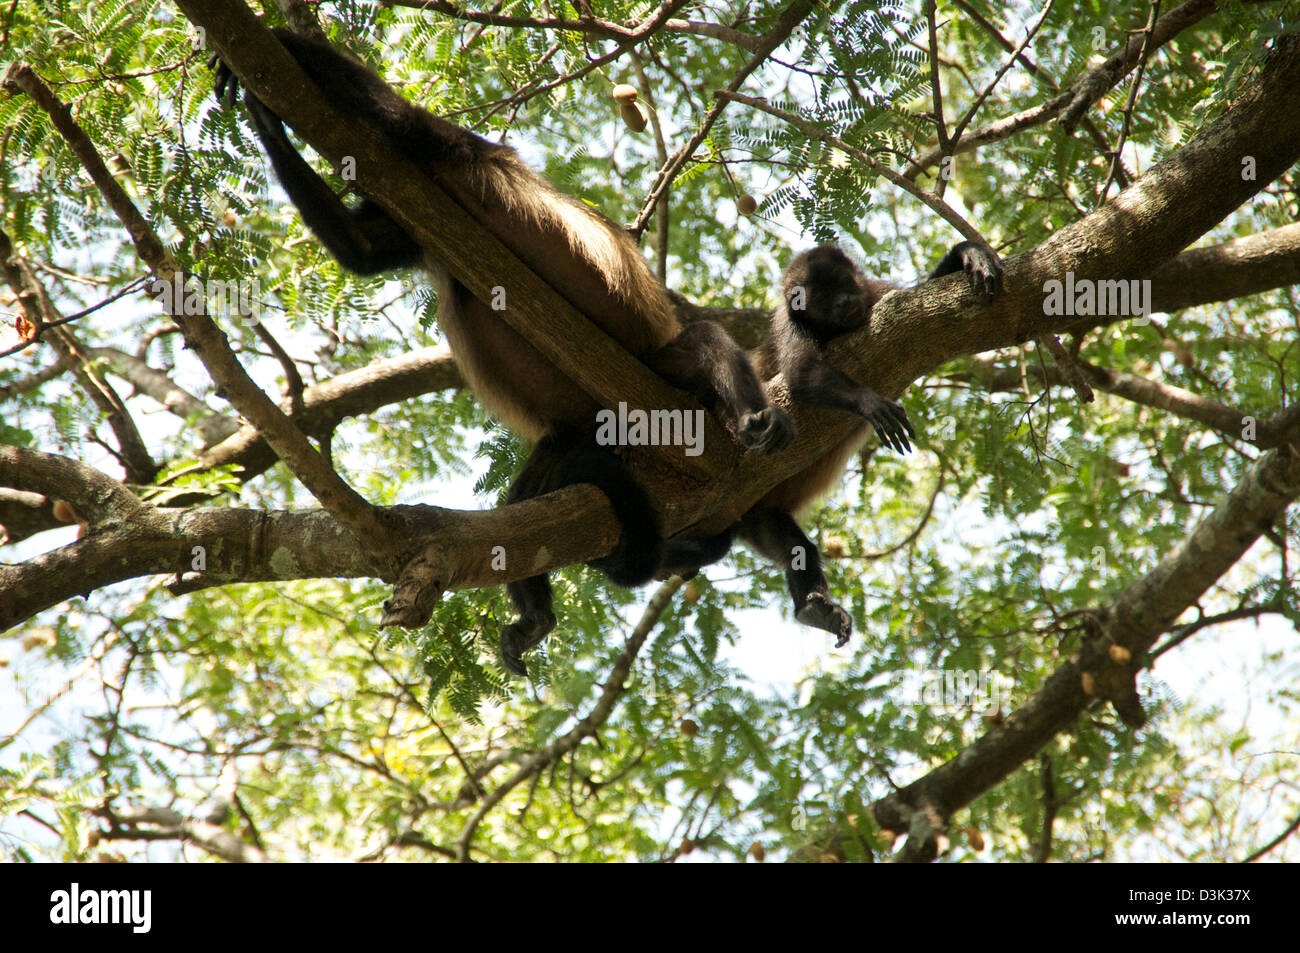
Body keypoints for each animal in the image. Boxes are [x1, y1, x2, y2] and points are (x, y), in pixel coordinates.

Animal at [210, 26, 790, 670]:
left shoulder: (458, 154)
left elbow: (397, 118)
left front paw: (275, 53)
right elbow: (363, 248)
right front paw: (266, 116)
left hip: (653, 378)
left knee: (703, 342)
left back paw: (752, 415)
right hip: (579, 439)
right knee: (530, 512)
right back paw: (535, 613)